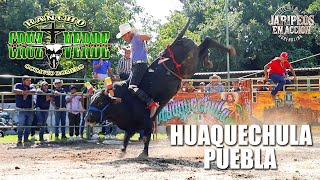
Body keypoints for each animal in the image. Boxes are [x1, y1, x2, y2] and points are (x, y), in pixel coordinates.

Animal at [85, 20, 235, 157]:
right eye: (91, 100)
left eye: (100, 102)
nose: (87, 118)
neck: (124, 100)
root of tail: (174, 44)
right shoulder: (131, 125)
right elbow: (126, 138)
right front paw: (122, 151)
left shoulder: (147, 122)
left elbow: (146, 137)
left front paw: (144, 153)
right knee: (205, 46)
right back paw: (210, 60)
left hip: (191, 63)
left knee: (207, 41)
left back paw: (229, 50)